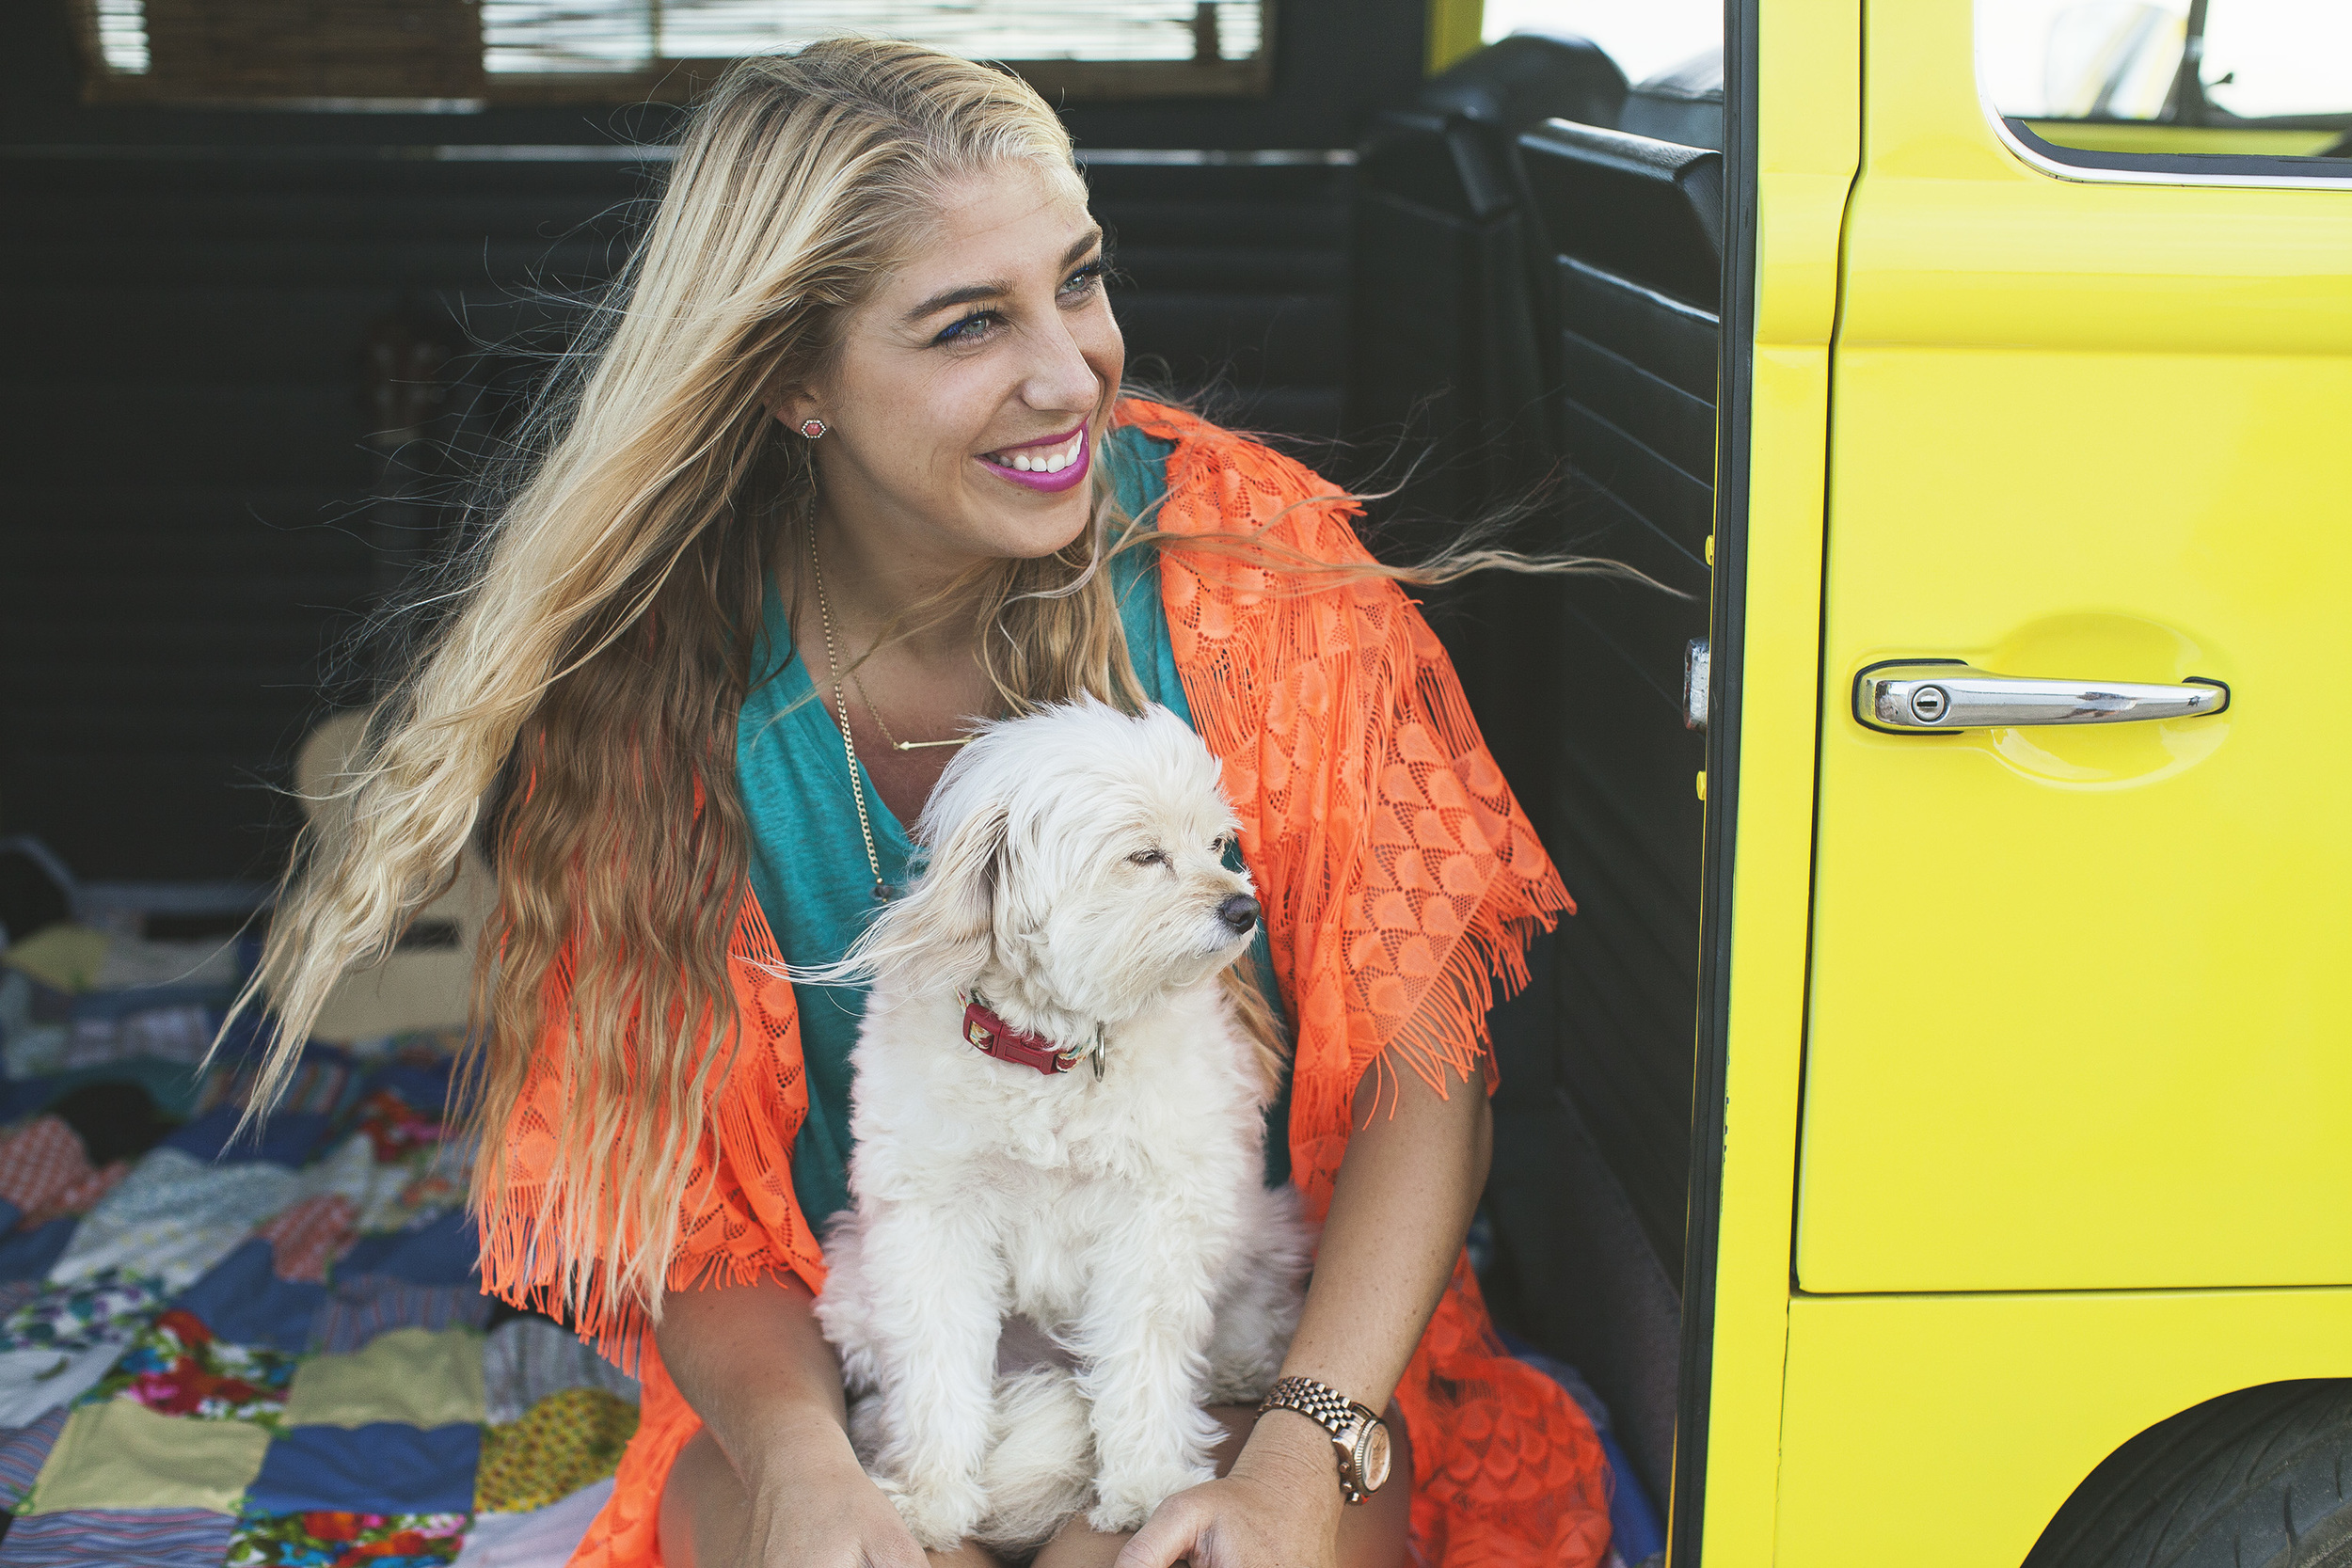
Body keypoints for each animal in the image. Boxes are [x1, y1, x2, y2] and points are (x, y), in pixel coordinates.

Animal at [814, 700, 1317, 1560]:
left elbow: (1143, 1360)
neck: (1052, 1054)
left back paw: (1238, 1364)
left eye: (1217, 844)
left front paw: (1145, 1485)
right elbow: (938, 1367)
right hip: (853, 1279)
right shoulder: (932, 1227)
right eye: (1145, 855)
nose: (1243, 907)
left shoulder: (1155, 1222)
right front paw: (932, 1492)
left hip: (1252, 1224)